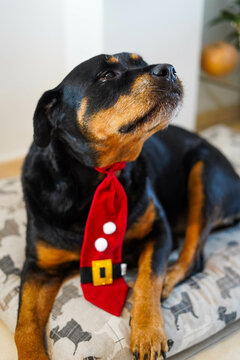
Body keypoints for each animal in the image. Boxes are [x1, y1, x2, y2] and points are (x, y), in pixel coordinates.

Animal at [15, 52, 240, 360]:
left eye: (140, 62)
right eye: (106, 75)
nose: (169, 69)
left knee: (193, 256)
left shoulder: (159, 231)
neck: (98, 176)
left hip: (205, 170)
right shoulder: (38, 268)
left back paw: (169, 278)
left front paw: (147, 331)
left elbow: (148, 277)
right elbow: (24, 325)